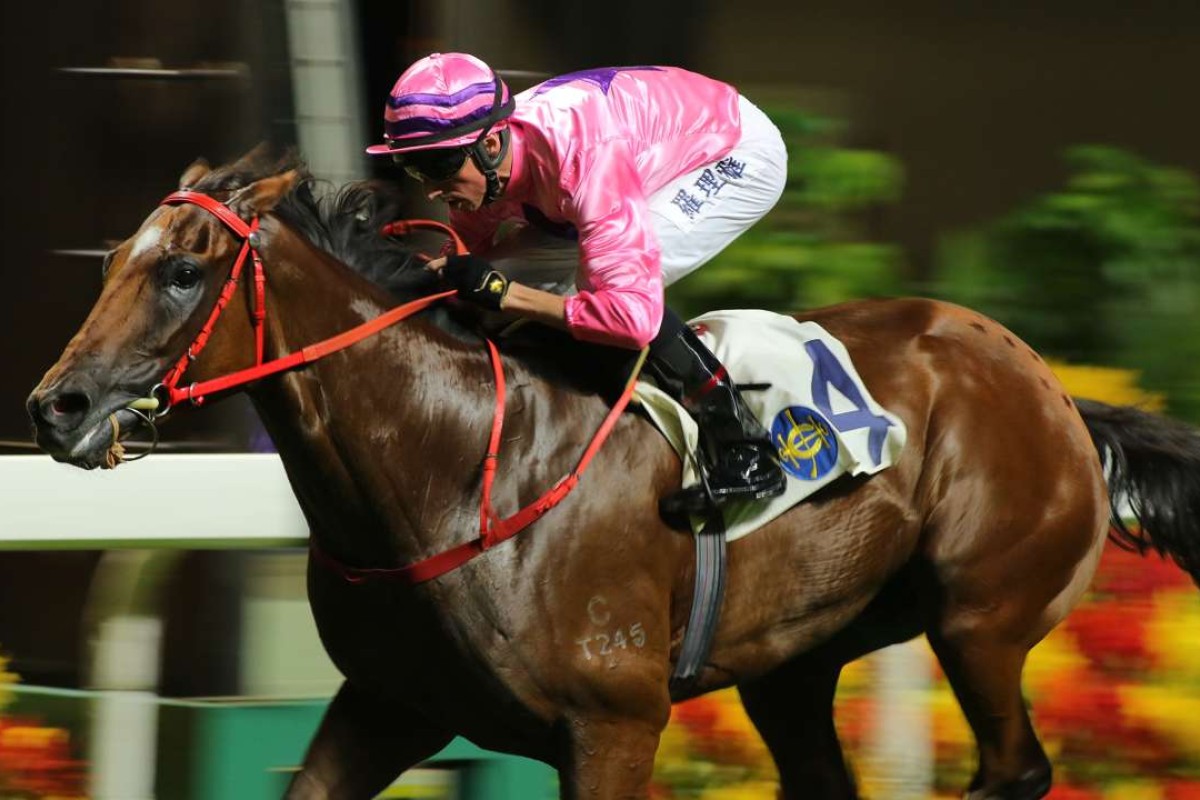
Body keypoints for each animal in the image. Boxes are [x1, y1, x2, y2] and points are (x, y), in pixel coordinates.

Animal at [23, 145, 1200, 800]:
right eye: (119, 260)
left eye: (182, 272)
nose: (56, 407)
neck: (452, 463)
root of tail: (1053, 387)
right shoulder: (389, 702)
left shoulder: (612, 726)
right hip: (794, 660)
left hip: (981, 617)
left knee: (1014, 766)